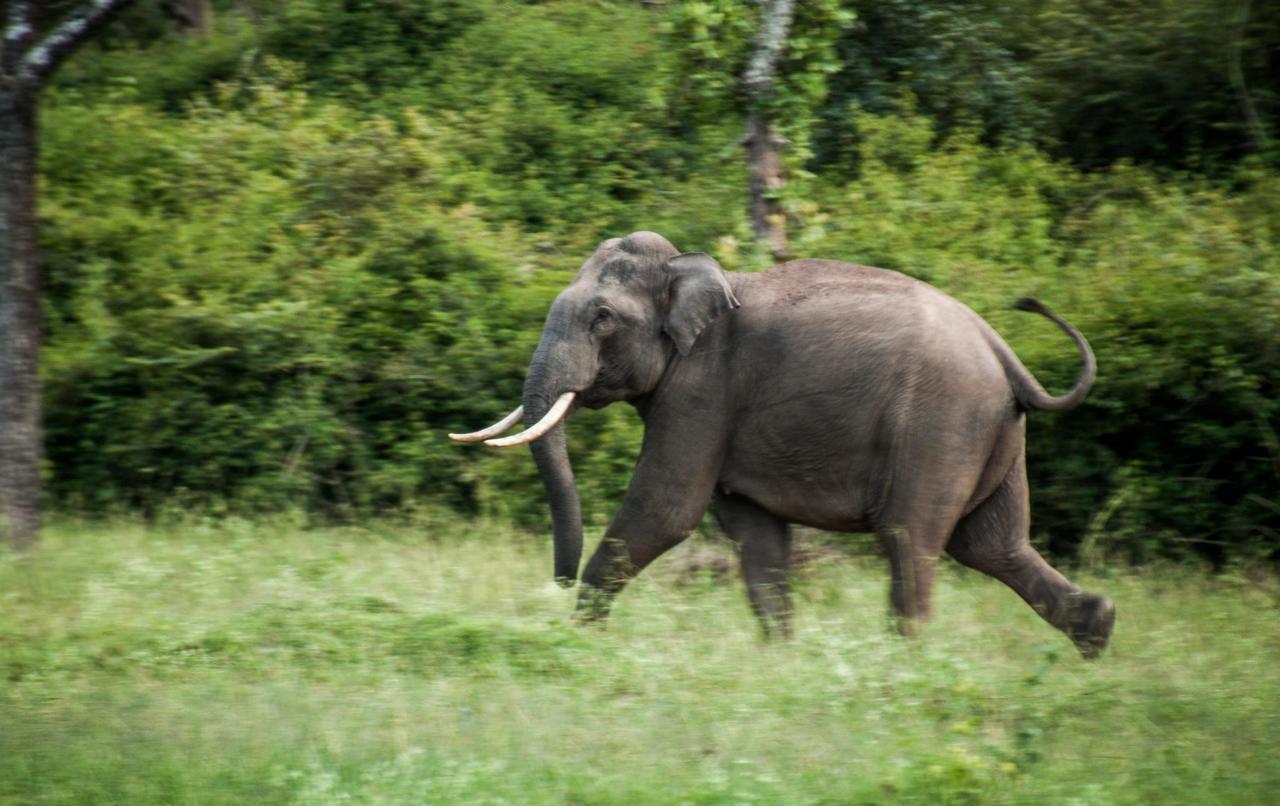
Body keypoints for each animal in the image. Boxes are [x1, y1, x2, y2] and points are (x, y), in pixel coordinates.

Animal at [455, 230, 1116, 660]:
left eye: (602, 319)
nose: (558, 587)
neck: (696, 271)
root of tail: (1005, 353)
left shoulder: (702, 390)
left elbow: (666, 510)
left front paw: (581, 637)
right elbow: (754, 532)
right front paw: (782, 660)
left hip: (941, 422)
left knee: (912, 538)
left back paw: (901, 664)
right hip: (993, 432)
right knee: (993, 545)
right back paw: (1096, 635)